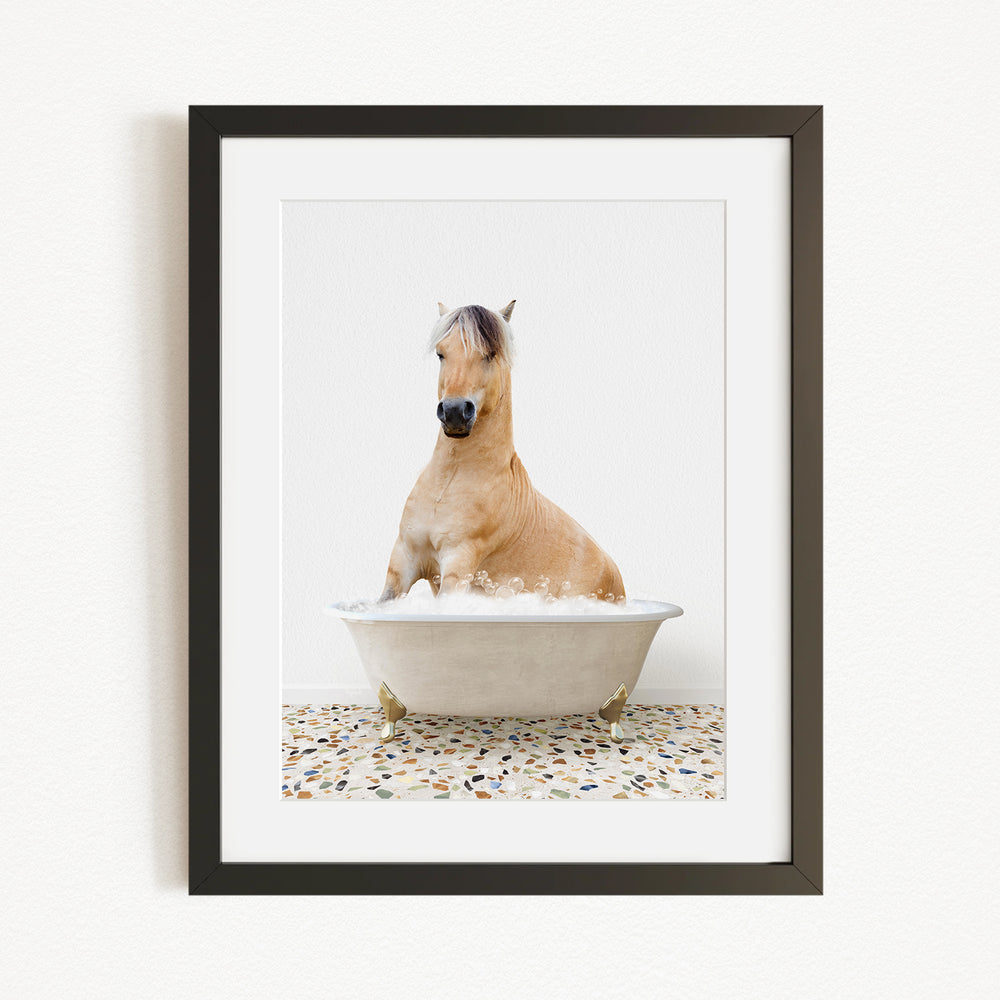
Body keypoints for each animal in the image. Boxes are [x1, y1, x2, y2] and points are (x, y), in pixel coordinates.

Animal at [379, 301, 625, 604]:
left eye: (490, 354)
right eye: (441, 353)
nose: (454, 412)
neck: (449, 482)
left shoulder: (458, 564)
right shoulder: (404, 559)